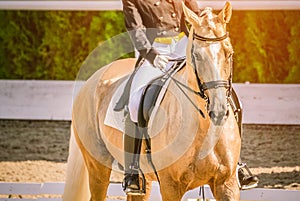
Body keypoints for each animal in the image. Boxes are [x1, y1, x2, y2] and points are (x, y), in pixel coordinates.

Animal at [62, 1, 241, 201]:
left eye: (229, 53)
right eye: (197, 56)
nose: (219, 111)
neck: (203, 126)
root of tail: (89, 82)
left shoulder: (227, 183)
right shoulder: (171, 186)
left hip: (142, 181)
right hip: (97, 167)